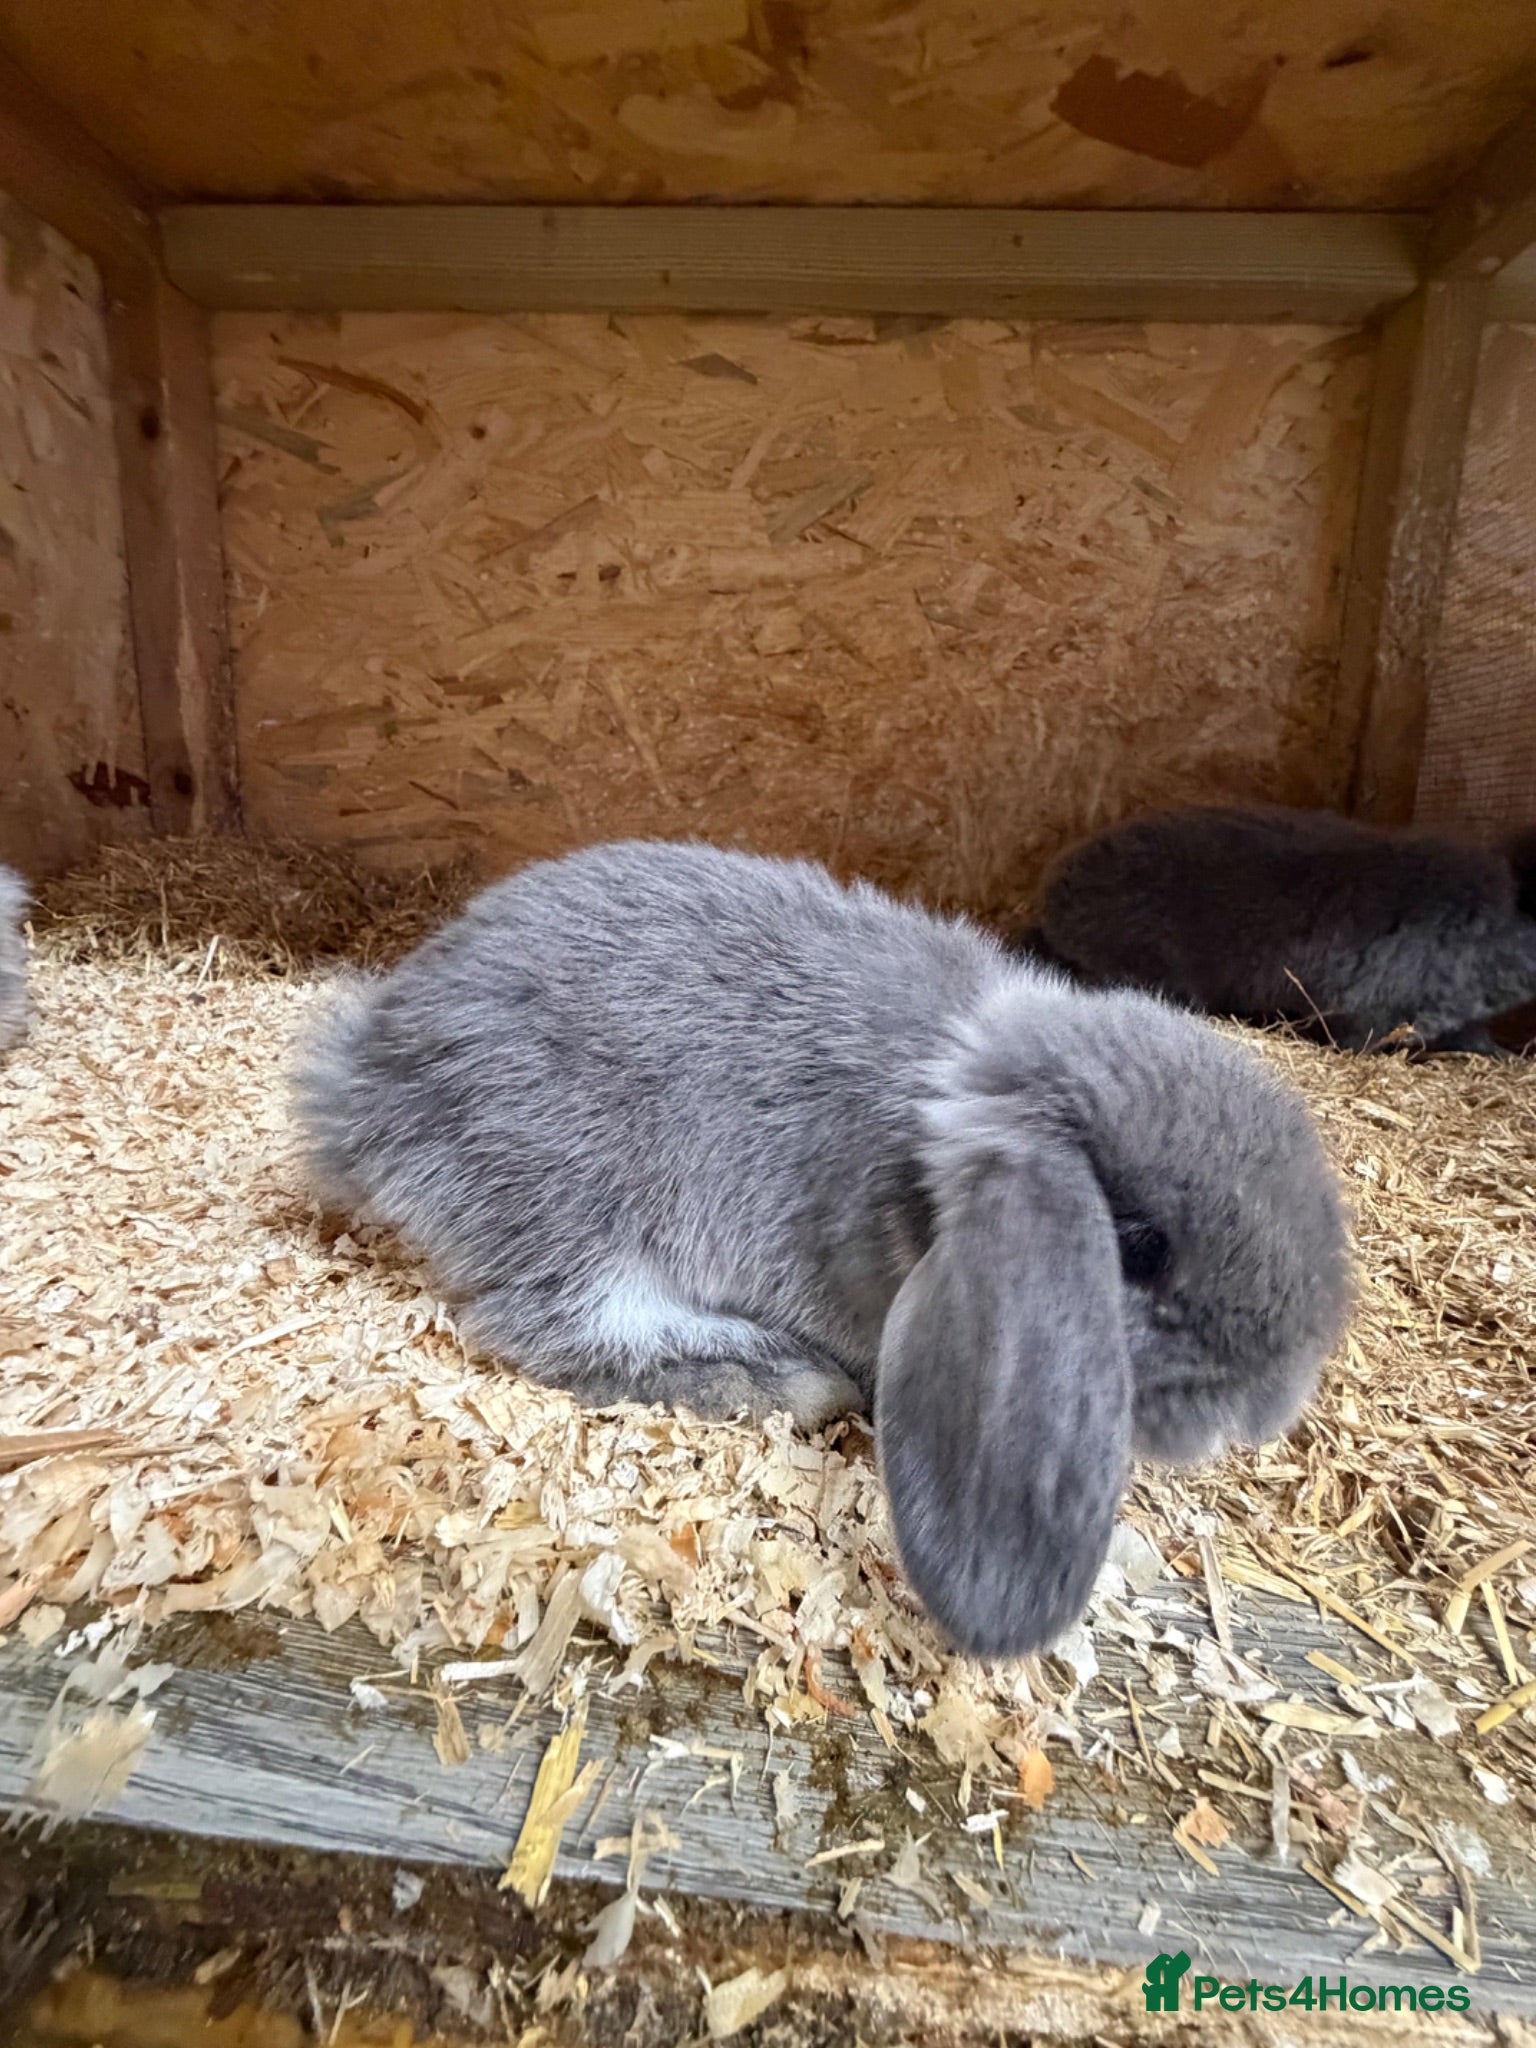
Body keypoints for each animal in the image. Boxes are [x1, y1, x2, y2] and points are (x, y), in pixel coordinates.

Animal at [294, 839, 1351, 1660]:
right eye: (1139, 1248)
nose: (1270, 1408)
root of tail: (367, 1075)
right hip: (568, 1188)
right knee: (554, 1324)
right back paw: (776, 1379)